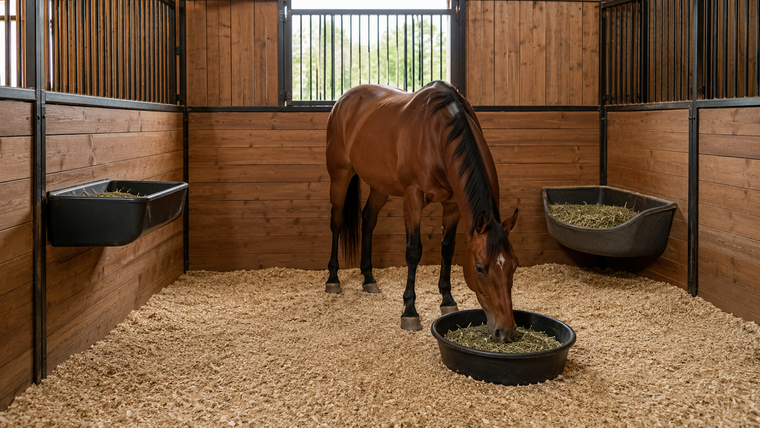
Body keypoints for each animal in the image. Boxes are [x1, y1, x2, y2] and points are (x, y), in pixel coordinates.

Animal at [324, 80, 520, 342]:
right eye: (479, 268)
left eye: (514, 265)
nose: (505, 331)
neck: (437, 136)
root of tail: (344, 100)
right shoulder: (413, 198)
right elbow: (413, 251)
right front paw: (409, 311)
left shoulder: (452, 206)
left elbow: (447, 248)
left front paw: (447, 300)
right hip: (340, 176)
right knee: (336, 222)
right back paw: (333, 279)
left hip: (380, 185)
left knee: (368, 219)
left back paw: (368, 278)